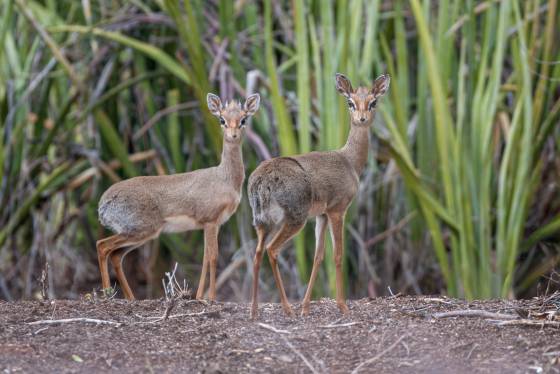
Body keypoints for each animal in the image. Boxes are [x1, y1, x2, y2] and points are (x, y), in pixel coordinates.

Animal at [97, 93, 260, 300]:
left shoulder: (213, 224)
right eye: (222, 119)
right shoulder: (210, 221)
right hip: (141, 231)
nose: (233, 136)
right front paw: (211, 298)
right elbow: (213, 257)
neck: (225, 178)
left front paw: (199, 296)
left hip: (139, 234)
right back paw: (107, 295)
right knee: (102, 246)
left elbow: (205, 257)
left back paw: (130, 298)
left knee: (116, 255)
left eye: (243, 119)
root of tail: (103, 203)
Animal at [249, 74, 390, 318]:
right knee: (271, 250)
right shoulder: (337, 210)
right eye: (350, 102)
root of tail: (261, 179)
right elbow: (337, 255)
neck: (350, 162)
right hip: (294, 220)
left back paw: (255, 310)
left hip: (263, 221)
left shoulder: (321, 215)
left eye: (373, 102)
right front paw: (342, 305)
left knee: (257, 253)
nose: (362, 119)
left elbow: (318, 256)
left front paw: (306, 307)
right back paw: (287, 308)